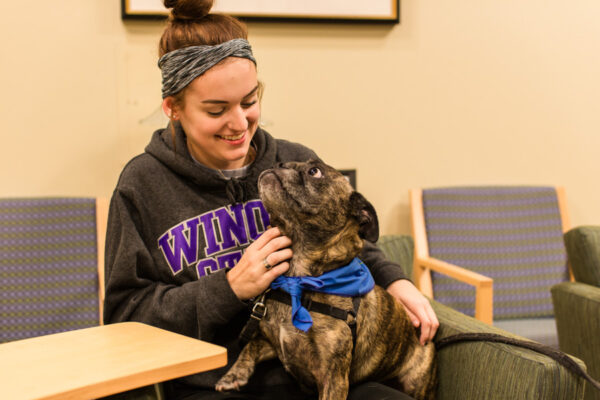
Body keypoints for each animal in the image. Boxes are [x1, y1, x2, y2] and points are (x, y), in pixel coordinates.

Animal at [216, 160, 436, 400]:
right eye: (283, 163)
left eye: (315, 171)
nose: (279, 165)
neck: (298, 278)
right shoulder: (273, 343)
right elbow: (250, 346)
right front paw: (234, 374)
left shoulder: (333, 378)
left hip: (417, 383)